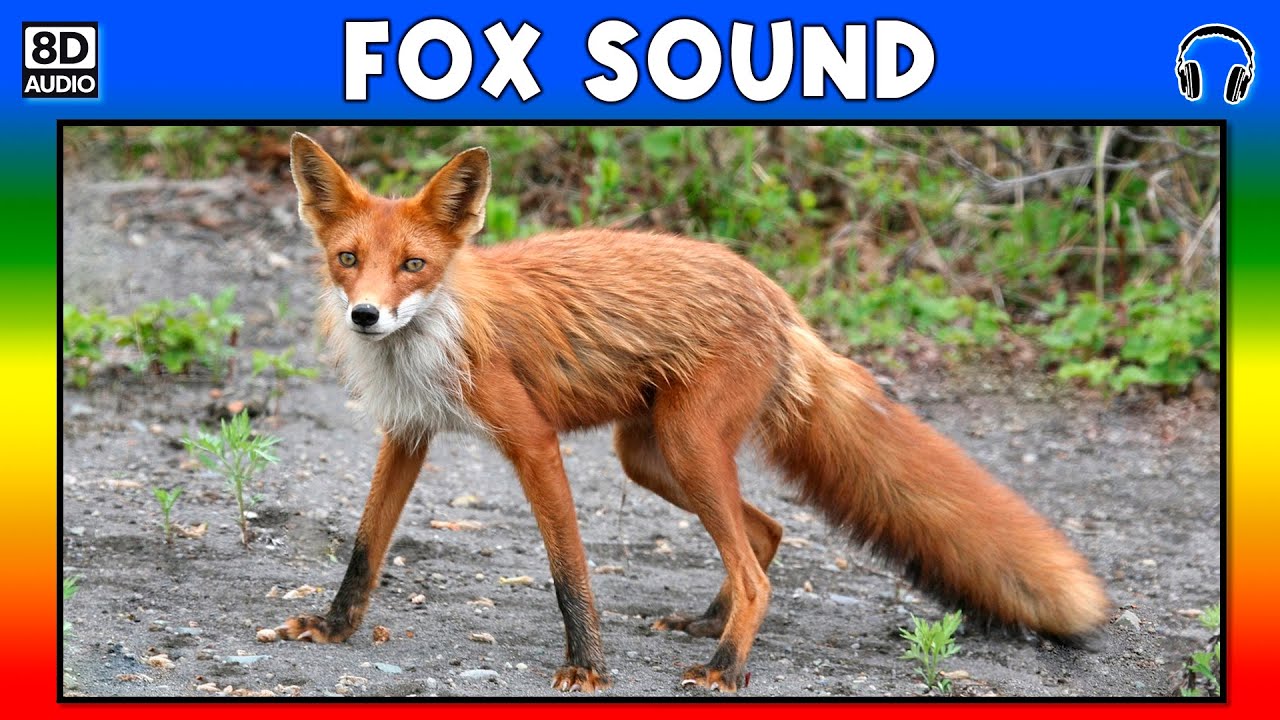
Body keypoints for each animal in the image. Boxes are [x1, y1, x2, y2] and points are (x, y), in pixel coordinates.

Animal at [271, 132, 1110, 693]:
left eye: (414, 265)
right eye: (349, 260)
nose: (367, 317)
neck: (435, 334)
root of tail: (773, 294)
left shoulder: (532, 441)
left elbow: (568, 569)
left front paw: (587, 666)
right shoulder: (407, 433)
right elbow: (365, 548)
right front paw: (333, 627)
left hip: (685, 444)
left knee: (757, 569)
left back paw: (724, 666)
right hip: (650, 456)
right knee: (765, 535)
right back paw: (712, 625)